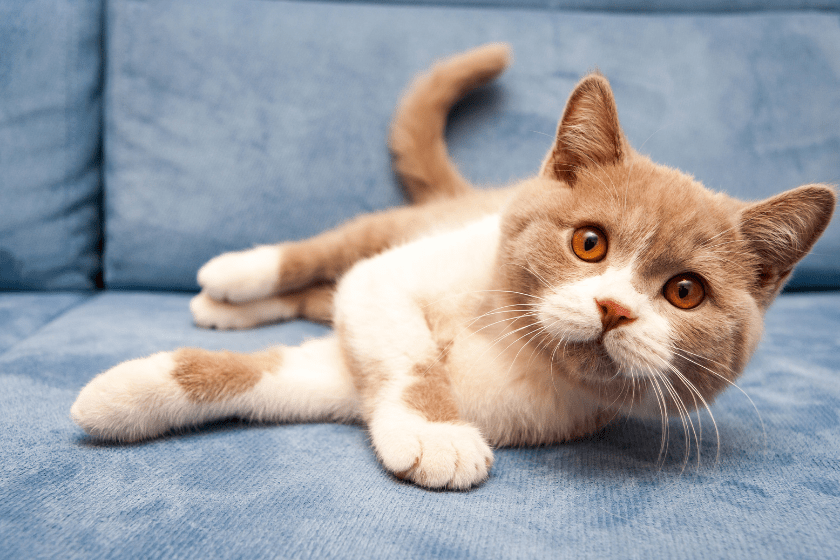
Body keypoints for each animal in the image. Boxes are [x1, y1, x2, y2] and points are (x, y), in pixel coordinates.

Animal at [72, 43, 832, 490]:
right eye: (589, 243)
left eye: (684, 292)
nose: (614, 309)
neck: (502, 337)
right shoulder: (391, 281)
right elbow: (399, 345)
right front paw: (435, 432)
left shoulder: (372, 384)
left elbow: (281, 379)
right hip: (398, 231)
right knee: (332, 254)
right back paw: (232, 279)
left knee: (322, 294)